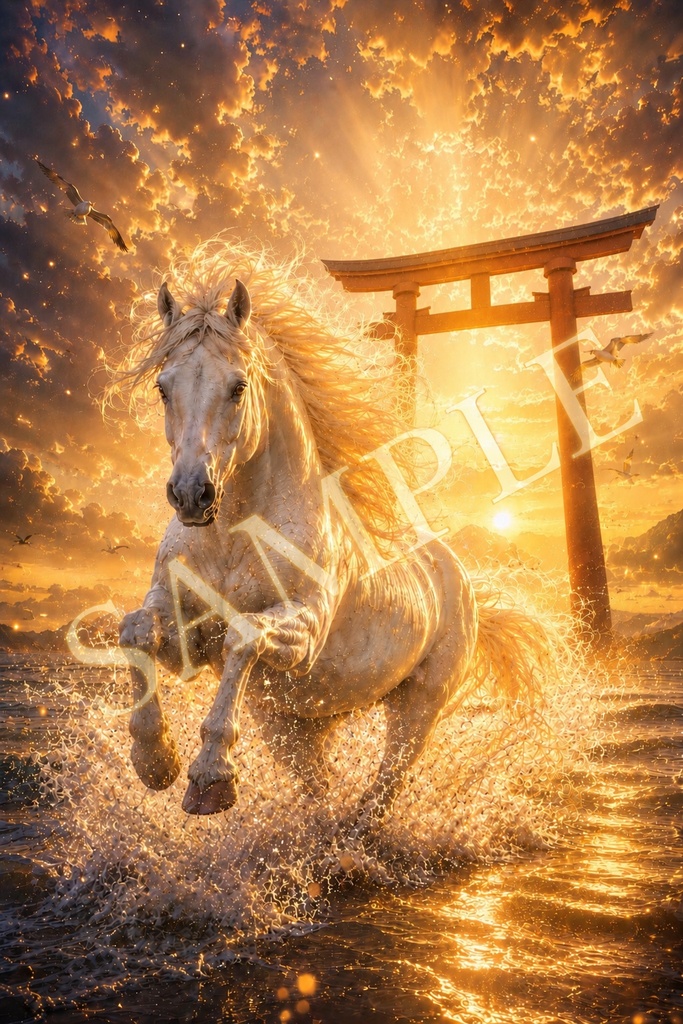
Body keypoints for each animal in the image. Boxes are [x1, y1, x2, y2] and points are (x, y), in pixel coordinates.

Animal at [112, 240, 547, 830]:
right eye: (163, 388)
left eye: (238, 387)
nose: (191, 494)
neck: (234, 537)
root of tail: (462, 580)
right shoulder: (187, 636)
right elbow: (135, 630)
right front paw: (155, 761)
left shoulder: (304, 629)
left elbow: (243, 636)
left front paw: (209, 778)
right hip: (292, 725)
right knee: (320, 788)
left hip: (418, 709)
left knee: (384, 788)